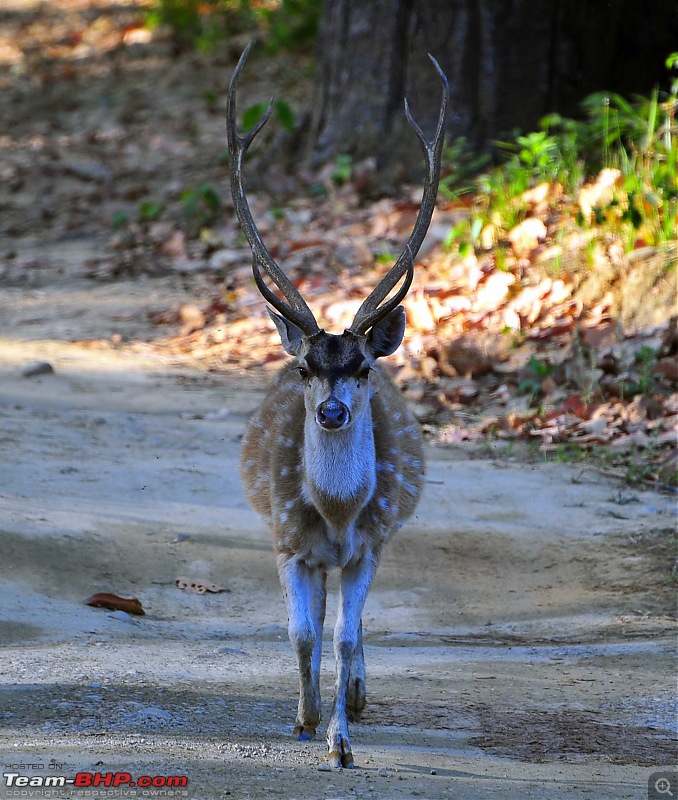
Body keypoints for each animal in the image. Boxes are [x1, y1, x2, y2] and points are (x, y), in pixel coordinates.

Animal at [228, 43, 448, 768]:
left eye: (362, 366)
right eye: (306, 367)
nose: (330, 414)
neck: (335, 514)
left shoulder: (371, 543)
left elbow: (345, 636)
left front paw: (341, 742)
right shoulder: (285, 540)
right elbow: (301, 633)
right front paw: (303, 717)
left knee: (351, 627)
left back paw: (354, 694)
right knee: (318, 620)